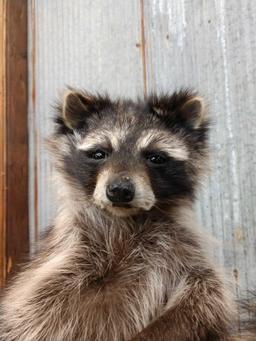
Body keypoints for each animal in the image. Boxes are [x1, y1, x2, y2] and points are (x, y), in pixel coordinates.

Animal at [0, 89, 252, 338]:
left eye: (155, 157)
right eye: (99, 153)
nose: (119, 190)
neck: (127, 219)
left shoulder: (183, 248)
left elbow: (206, 296)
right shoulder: (66, 254)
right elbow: (29, 311)